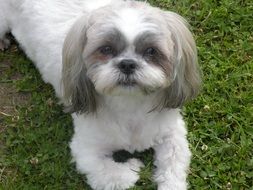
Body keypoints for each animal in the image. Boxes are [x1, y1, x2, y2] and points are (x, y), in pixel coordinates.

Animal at [0, 0, 202, 189]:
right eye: (106, 49)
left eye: (151, 51)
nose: (127, 63)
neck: (129, 105)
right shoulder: (86, 149)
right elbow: (110, 174)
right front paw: (132, 168)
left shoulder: (171, 132)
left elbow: (173, 163)